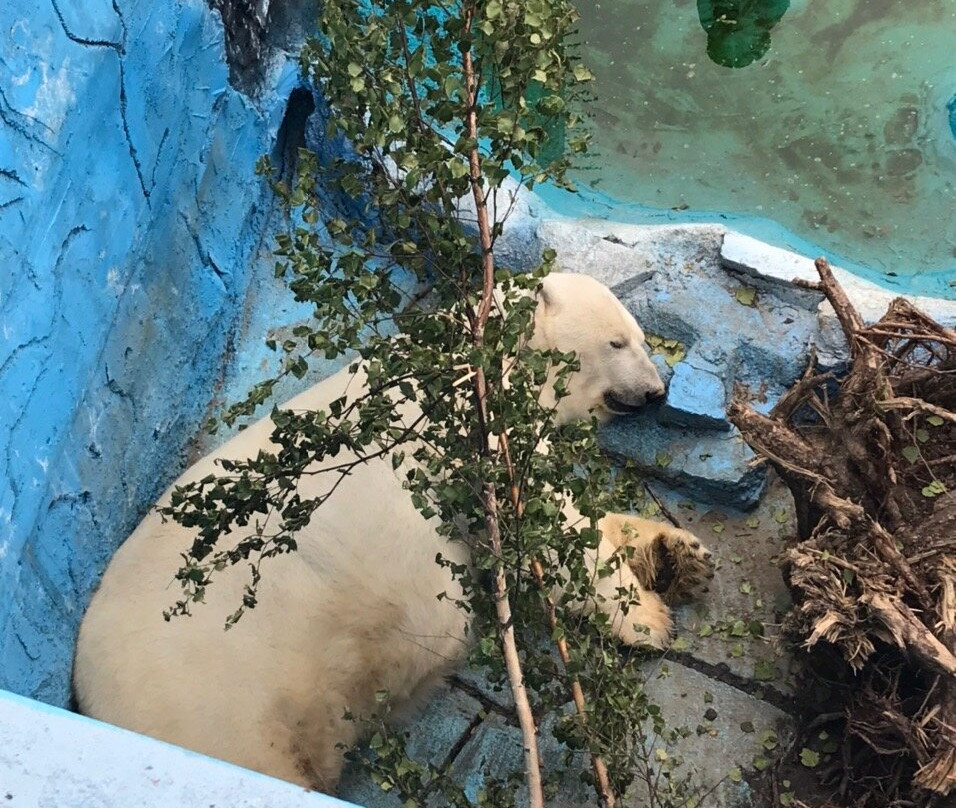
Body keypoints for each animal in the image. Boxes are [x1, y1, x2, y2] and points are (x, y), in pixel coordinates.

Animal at [73, 274, 708, 792]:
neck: (476, 356)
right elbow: (547, 529)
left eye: (643, 339)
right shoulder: (471, 438)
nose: (656, 393)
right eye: (617, 342)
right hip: (217, 694)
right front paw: (649, 620)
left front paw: (679, 557)